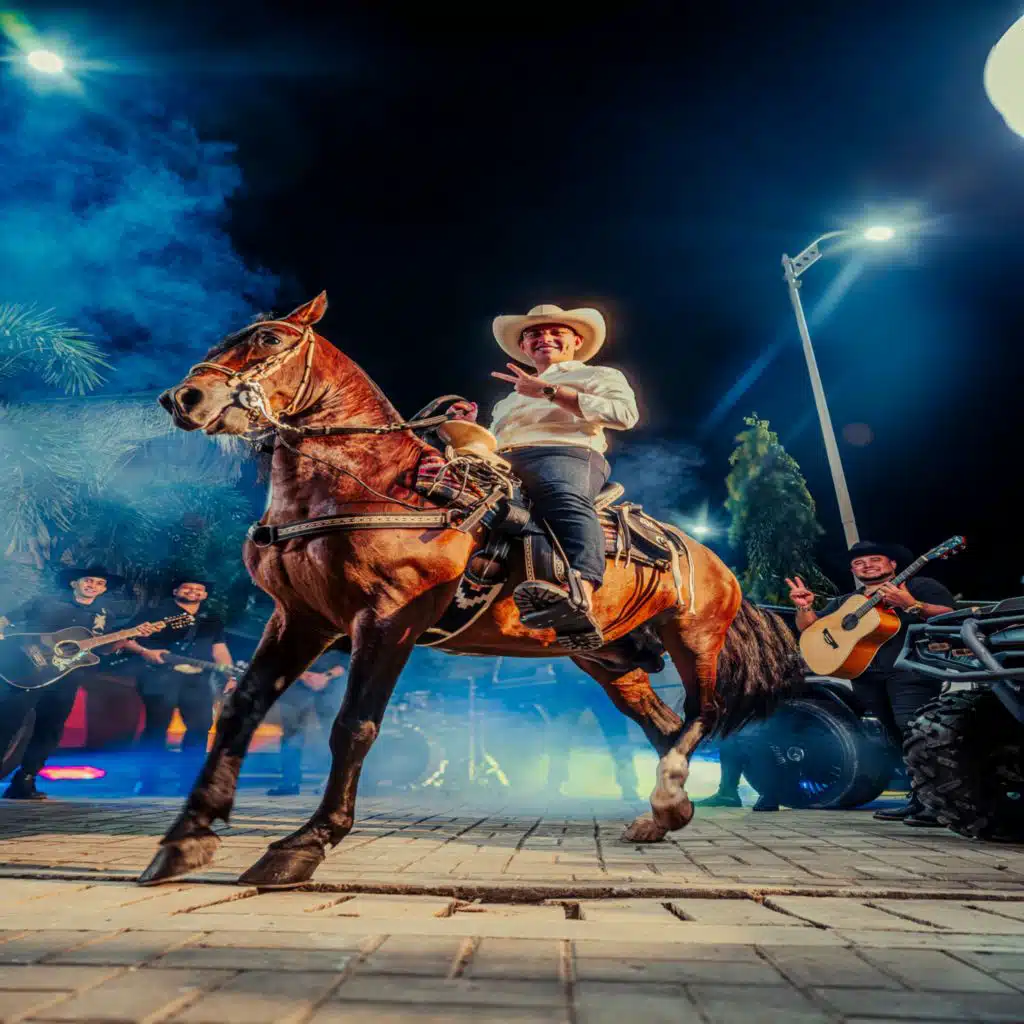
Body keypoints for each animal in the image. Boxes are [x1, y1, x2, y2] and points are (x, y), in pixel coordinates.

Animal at [140, 291, 801, 887]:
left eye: (269, 338)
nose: (183, 398)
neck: (375, 485)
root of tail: (710, 560)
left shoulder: (388, 621)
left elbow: (354, 726)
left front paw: (305, 844)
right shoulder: (300, 619)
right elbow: (240, 710)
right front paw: (186, 839)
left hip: (694, 638)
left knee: (702, 713)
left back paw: (667, 799)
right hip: (607, 658)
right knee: (662, 724)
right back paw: (666, 812)